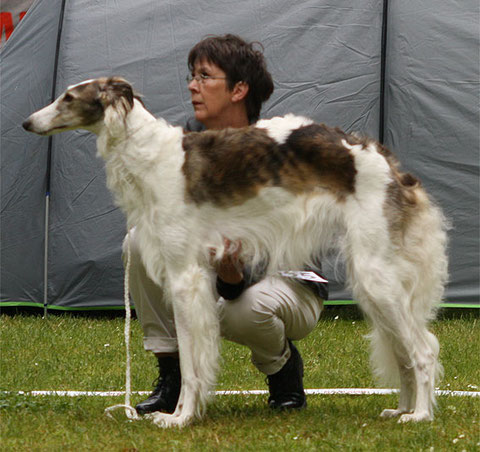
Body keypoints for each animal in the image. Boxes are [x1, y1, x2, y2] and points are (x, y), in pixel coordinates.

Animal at [23, 77, 450, 428]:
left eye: (68, 97)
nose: (27, 123)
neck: (152, 156)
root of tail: (386, 160)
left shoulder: (186, 278)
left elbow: (192, 361)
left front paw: (180, 418)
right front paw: (184, 412)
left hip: (376, 276)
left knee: (424, 349)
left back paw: (421, 415)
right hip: (373, 281)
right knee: (403, 353)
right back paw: (402, 408)